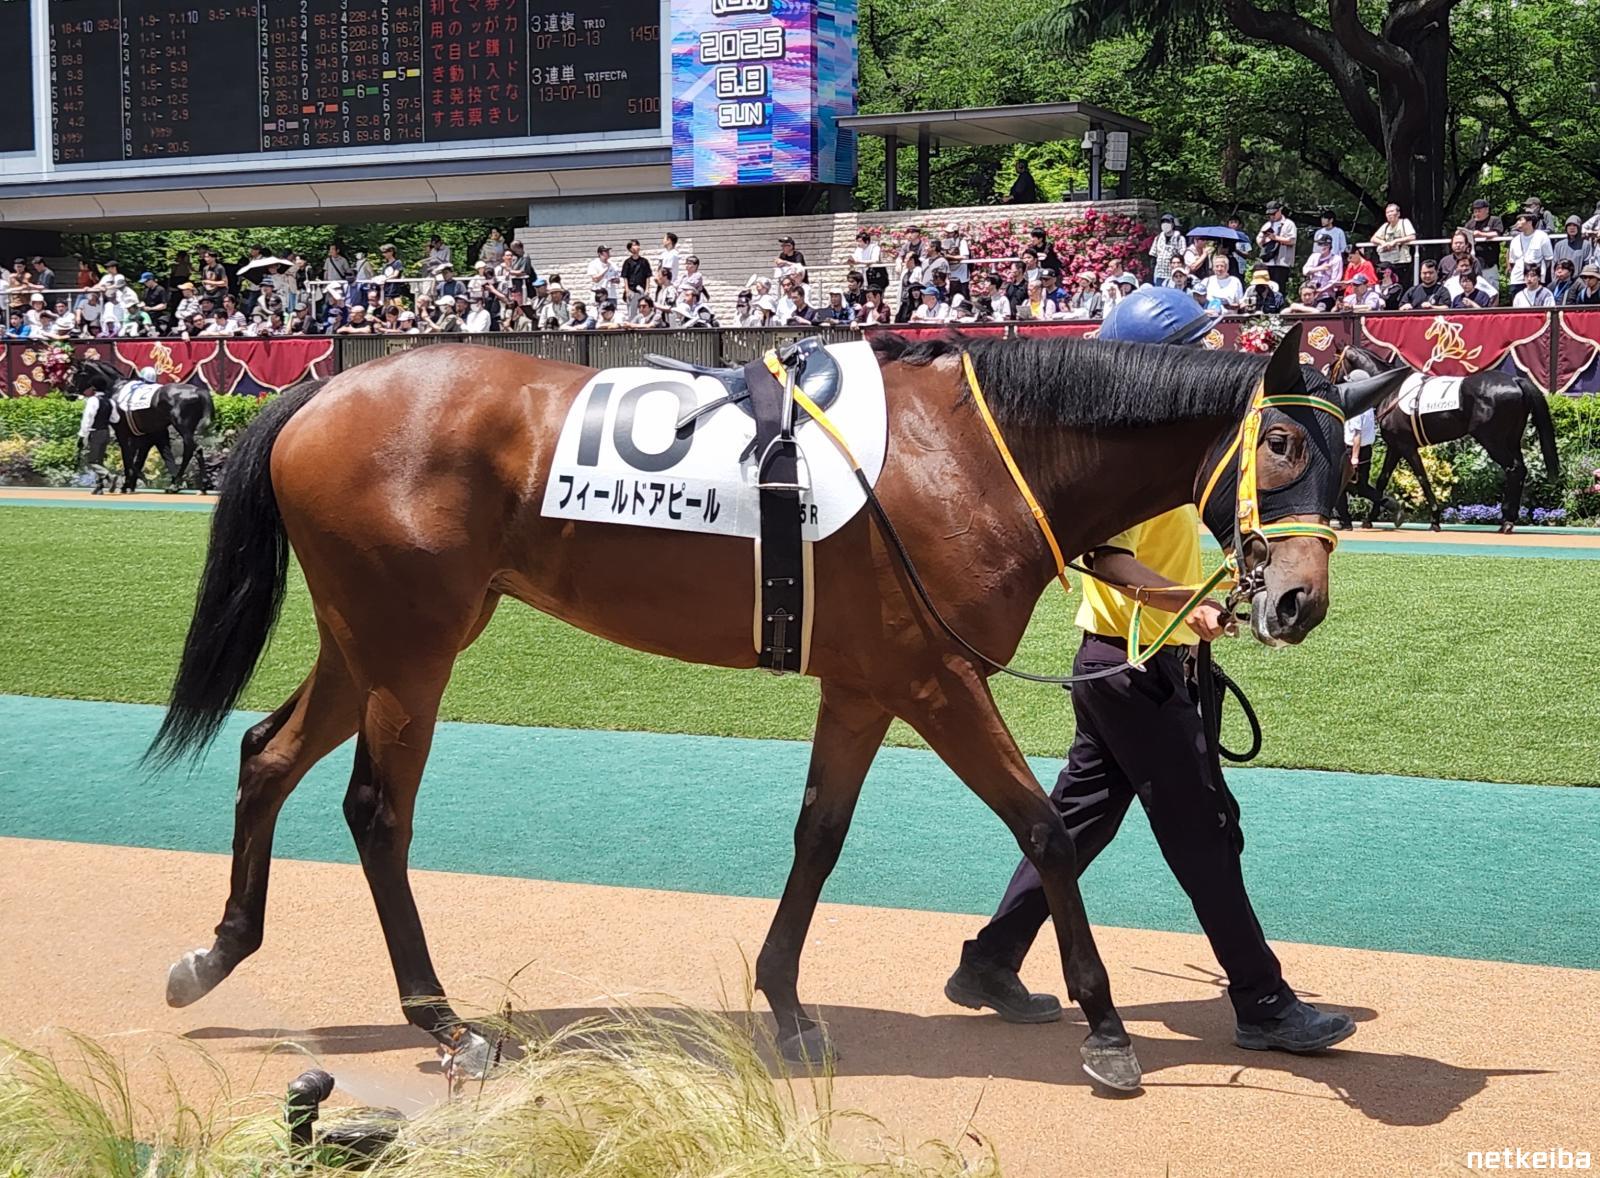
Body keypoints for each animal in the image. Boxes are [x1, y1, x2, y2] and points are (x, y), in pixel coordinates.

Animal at [68, 359, 214, 493]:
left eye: (76, 374)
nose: (68, 392)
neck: (117, 387)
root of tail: (199, 390)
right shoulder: (146, 436)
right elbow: (139, 459)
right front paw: (131, 483)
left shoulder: (123, 432)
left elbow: (127, 456)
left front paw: (127, 483)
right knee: (191, 450)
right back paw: (193, 484)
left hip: (183, 427)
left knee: (193, 449)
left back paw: (185, 484)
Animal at [144, 329, 1399, 1092]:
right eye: (1280, 441)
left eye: (1354, 459)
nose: (1297, 599)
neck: (969, 459)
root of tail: (325, 385)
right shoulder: (937, 681)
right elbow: (1044, 827)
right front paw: (1104, 1027)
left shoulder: (864, 683)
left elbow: (818, 834)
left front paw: (786, 1003)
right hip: (412, 644)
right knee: (375, 809)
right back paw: (445, 1020)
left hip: (370, 638)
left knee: (266, 753)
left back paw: (217, 948)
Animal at [1335, 344, 1560, 533]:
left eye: (1334, 363)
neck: (1393, 393)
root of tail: (1515, 379)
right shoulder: (1395, 446)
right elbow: (1382, 480)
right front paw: (1370, 518)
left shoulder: (1406, 446)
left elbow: (1422, 478)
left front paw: (1435, 520)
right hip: (1512, 440)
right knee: (1520, 469)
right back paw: (1508, 519)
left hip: (1492, 440)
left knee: (1514, 469)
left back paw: (1506, 521)